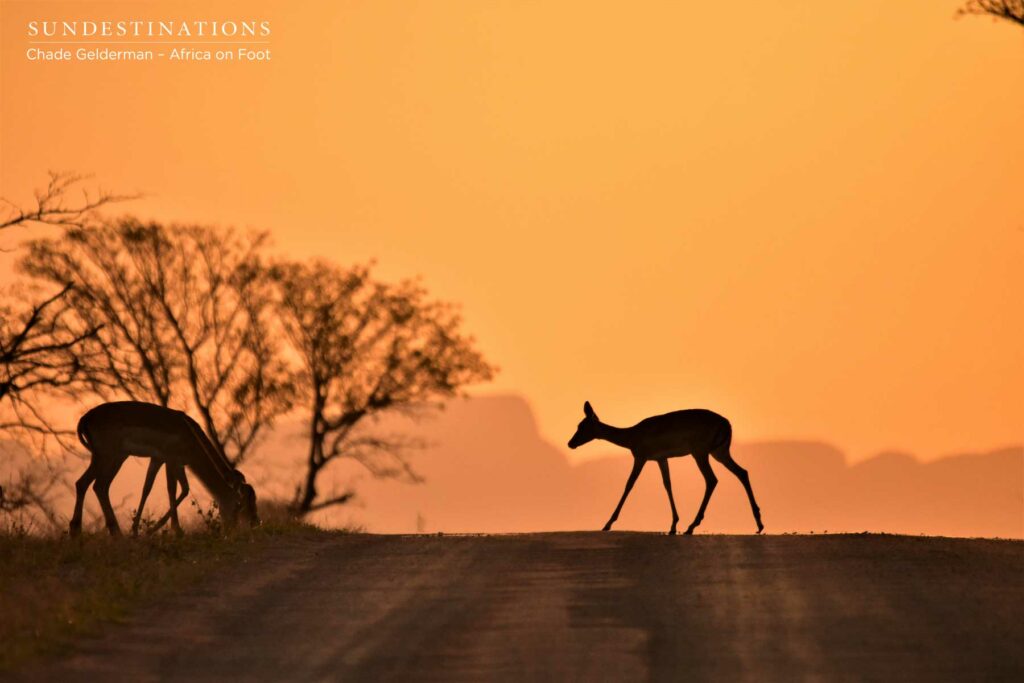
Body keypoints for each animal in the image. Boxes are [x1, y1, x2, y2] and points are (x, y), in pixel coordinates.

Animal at [70, 401, 259, 536]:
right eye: (239, 504)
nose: (255, 523)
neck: (190, 435)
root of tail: (85, 418)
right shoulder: (172, 460)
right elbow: (175, 489)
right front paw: (174, 530)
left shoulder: (161, 460)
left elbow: (148, 488)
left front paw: (137, 530)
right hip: (108, 457)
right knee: (95, 484)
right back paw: (102, 532)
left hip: (111, 457)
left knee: (91, 485)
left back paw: (88, 532)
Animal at [568, 401, 763, 535]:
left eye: (582, 426)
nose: (570, 443)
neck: (632, 436)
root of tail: (727, 424)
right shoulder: (661, 459)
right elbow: (667, 484)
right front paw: (673, 525)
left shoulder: (641, 457)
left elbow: (629, 485)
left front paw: (607, 524)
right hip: (719, 453)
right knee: (742, 472)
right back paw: (759, 525)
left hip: (700, 453)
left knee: (712, 479)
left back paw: (692, 526)